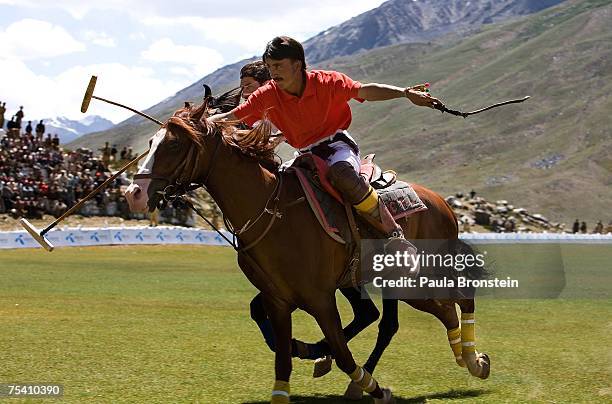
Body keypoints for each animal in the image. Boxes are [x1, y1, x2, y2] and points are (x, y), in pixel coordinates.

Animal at [124, 102, 488, 402]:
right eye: (151, 143)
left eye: (173, 144)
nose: (133, 193)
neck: (273, 209)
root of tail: (443, 204)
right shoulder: (278, 298)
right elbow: (283, 351)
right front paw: (312, 358)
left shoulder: (320, 297)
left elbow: (341, 351)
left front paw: (369, 383)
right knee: (403, 318)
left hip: (415, 279)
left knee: (454, 302)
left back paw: (471, 359)